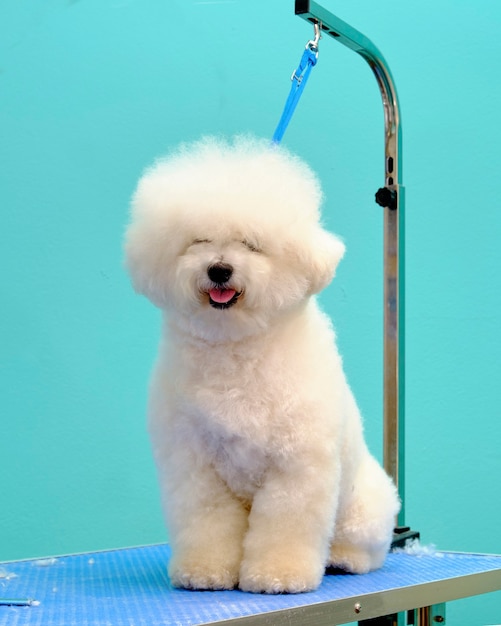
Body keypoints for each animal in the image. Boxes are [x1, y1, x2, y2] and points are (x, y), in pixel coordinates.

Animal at [124, 135, 398, 588]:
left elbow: (285, 527)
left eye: (252, 245)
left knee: (365, 546)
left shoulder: (295, 466)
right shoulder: (195, 467)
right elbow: (207, 522)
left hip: (365, 508)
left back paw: (344, 558)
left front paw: (278, 575)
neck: (236, 348)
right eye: (198, 242)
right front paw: (204, 571)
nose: (219, 269)